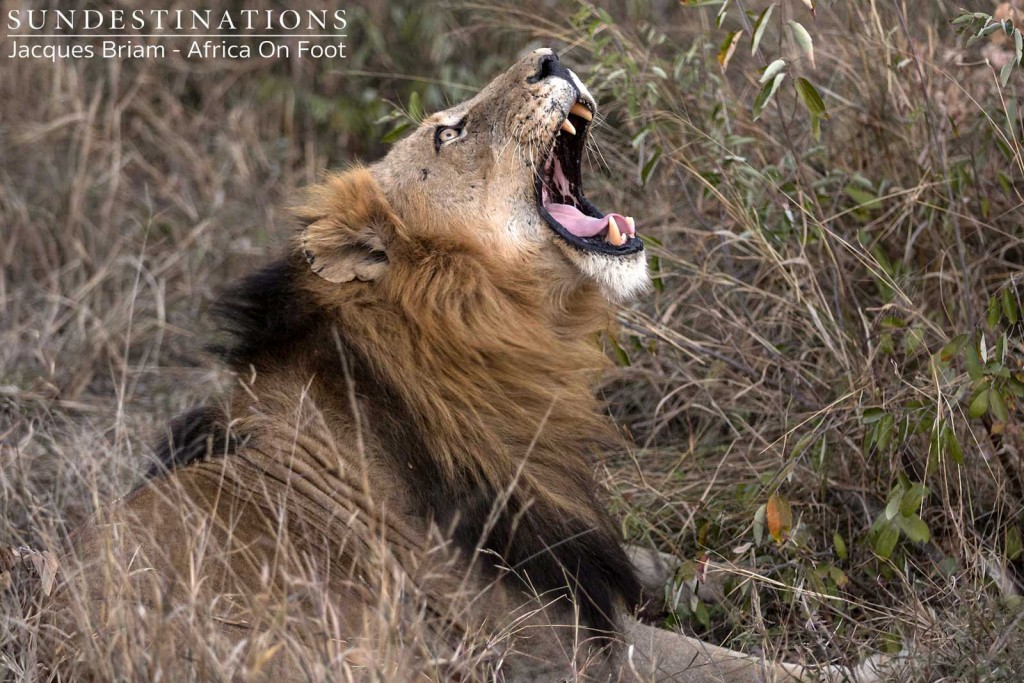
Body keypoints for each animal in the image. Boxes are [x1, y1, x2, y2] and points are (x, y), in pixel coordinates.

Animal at [51, 49, 876, 683]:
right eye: (450, 131)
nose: (551, 57)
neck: (502, 344)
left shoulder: (573, 547)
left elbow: (685, 563)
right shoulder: (558, 639)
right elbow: (735, 662)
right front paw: (870, 661)